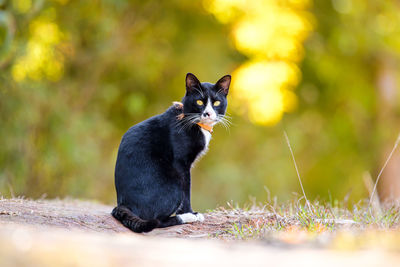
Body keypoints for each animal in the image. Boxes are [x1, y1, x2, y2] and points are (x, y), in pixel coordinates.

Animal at [112, 73, 231, 232]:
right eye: (199, 101)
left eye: (217, 103)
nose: (208, 113)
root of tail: (123, 205)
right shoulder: (181, 163)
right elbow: (187, 191)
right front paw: (191, 213)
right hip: (173, 183)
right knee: (156, 220)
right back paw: (187, 217)